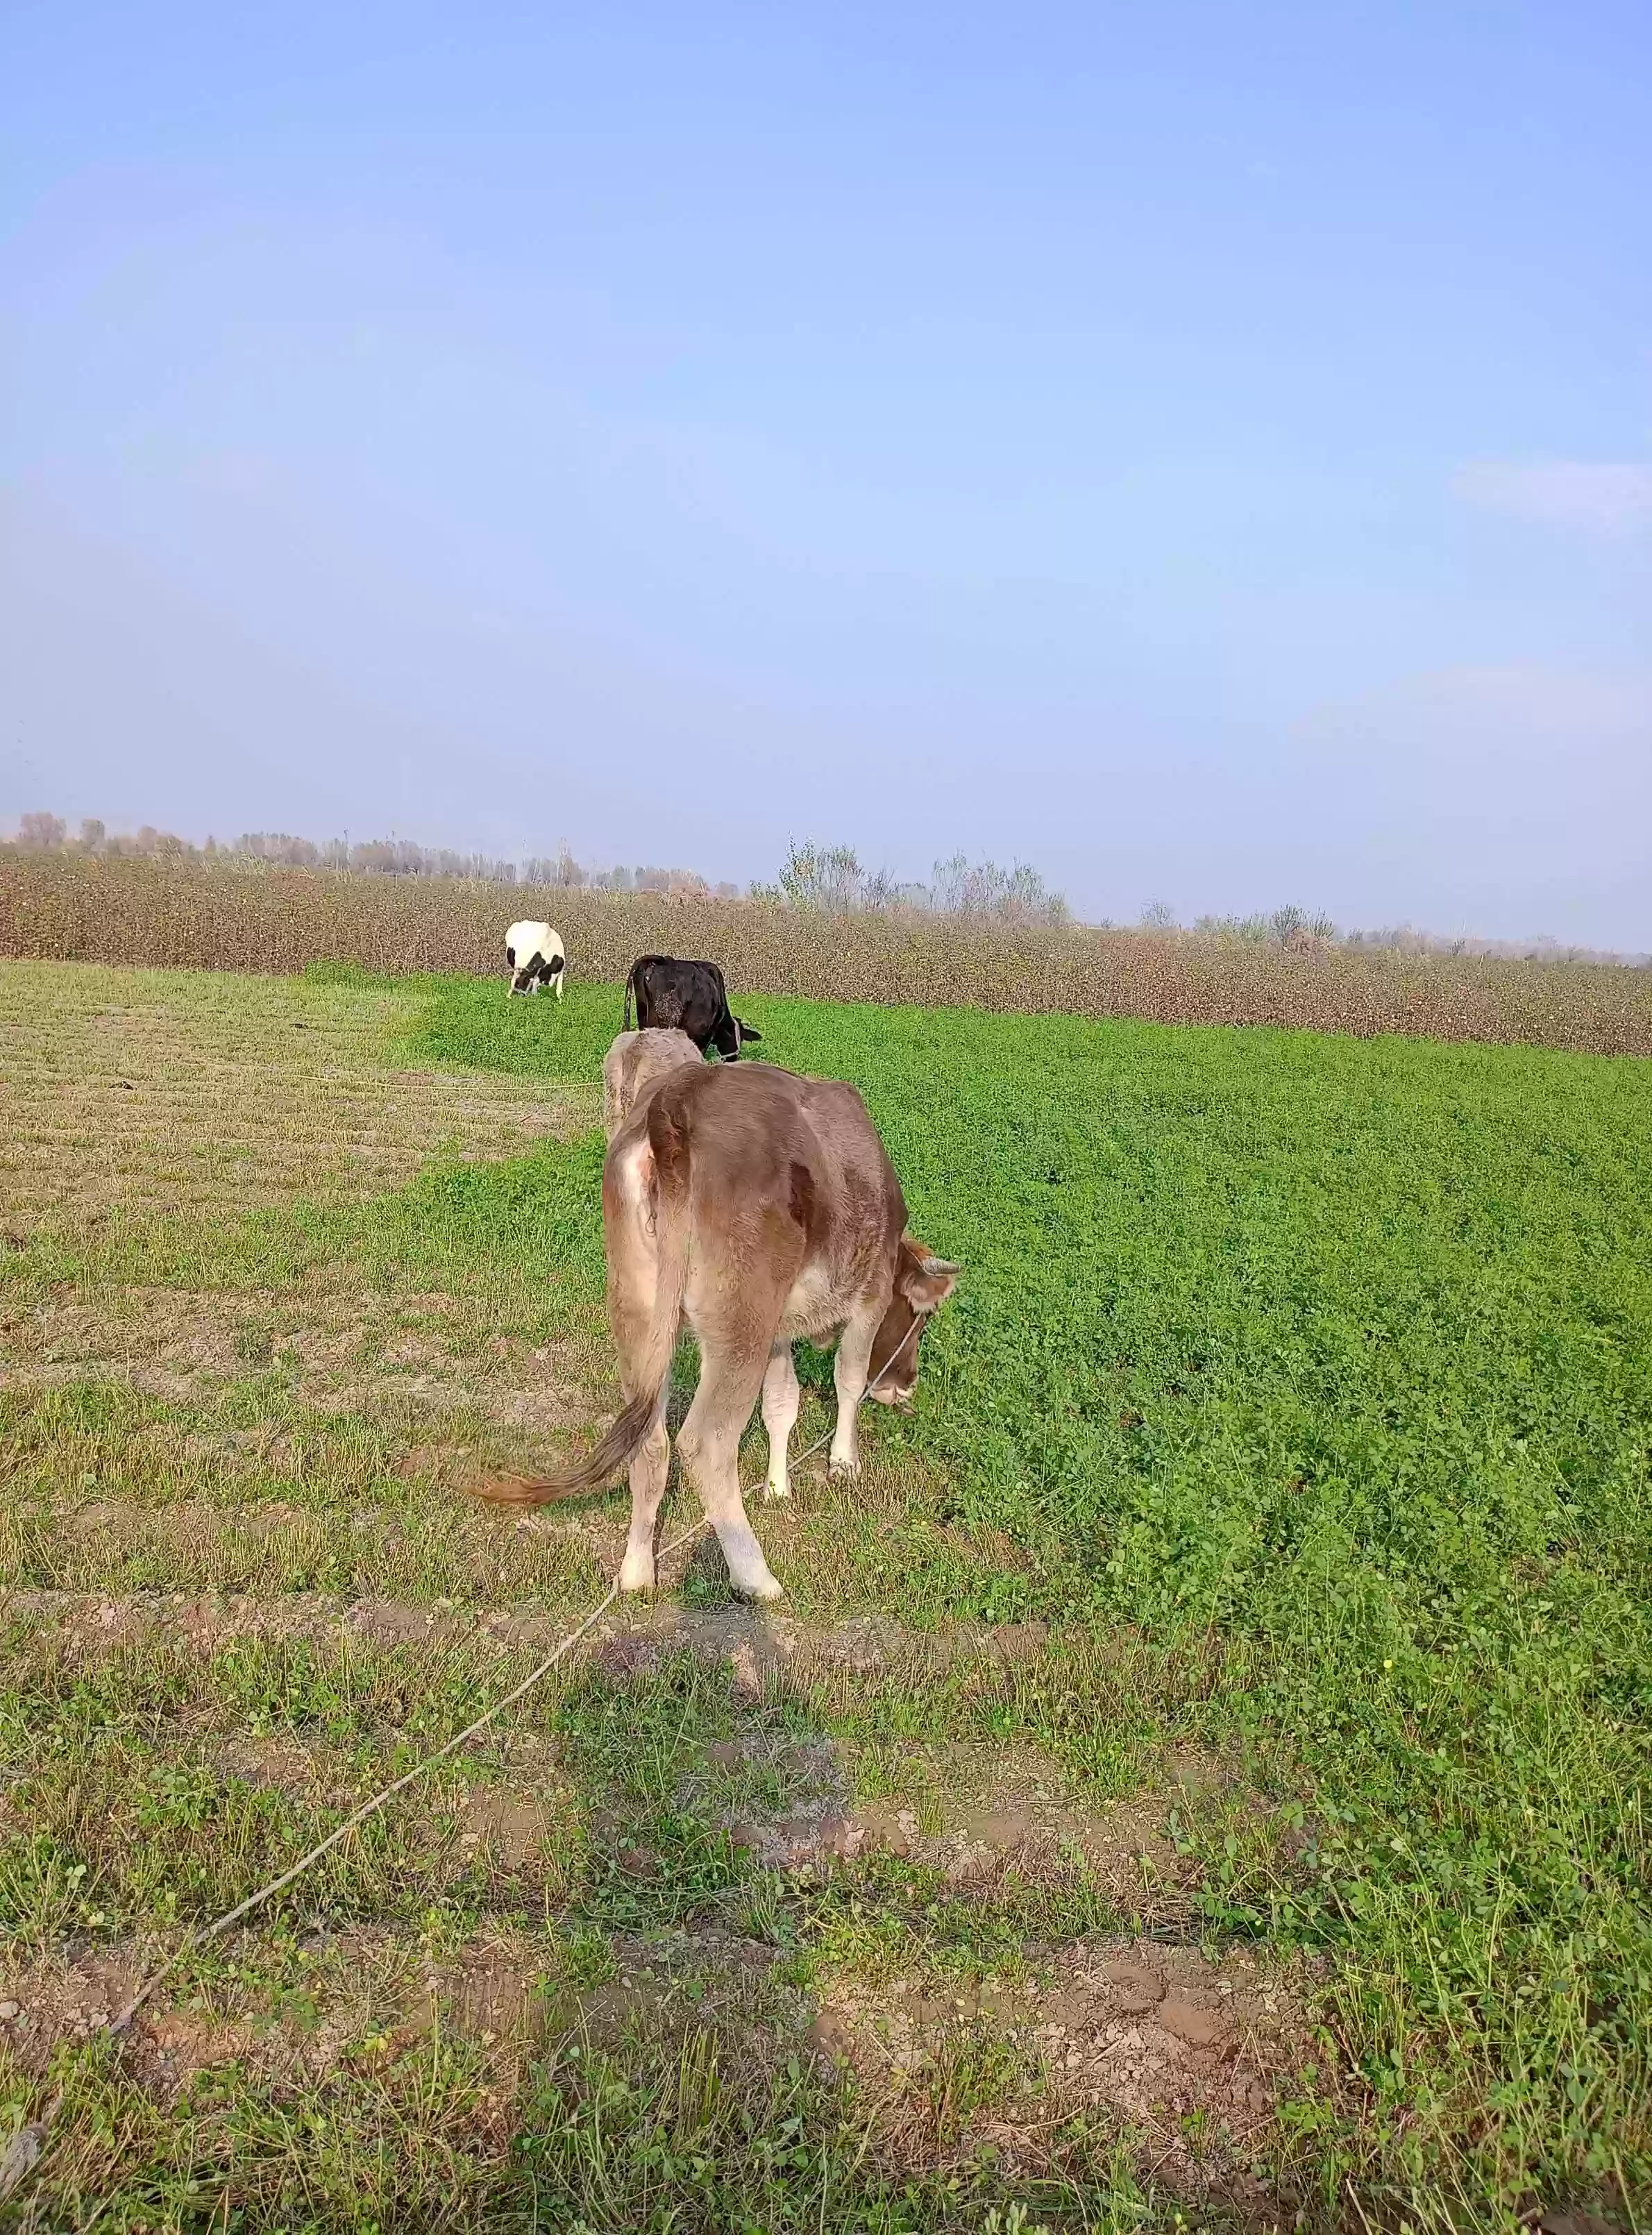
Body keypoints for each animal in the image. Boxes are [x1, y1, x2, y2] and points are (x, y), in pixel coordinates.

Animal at [469, 1055, 958, 1603]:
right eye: (923, 1319)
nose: (905, 1386)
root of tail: (680, 1097)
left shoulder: (777, 1330)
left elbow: (781, 1404)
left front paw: (777, 1487)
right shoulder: (867, 1297)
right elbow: (848, 1380)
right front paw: (842, 1463)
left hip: (640, 1308)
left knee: (651, 1441)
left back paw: (637, 1571)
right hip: (738, 1320)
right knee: (705, 1443)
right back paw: (756, 1576)